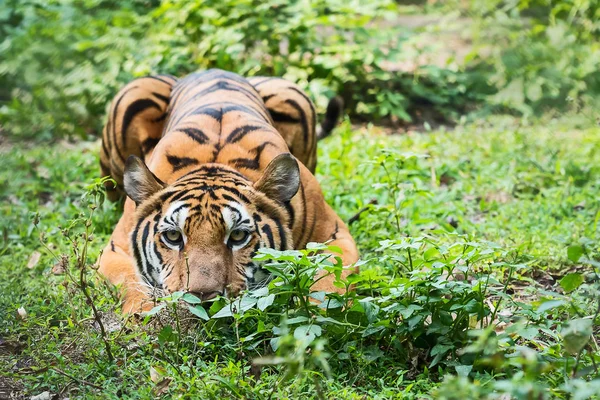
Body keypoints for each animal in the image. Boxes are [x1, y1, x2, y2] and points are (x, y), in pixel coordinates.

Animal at [97, 69, 356, 312]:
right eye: (173, 236)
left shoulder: (332, 234)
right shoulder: (116, 249)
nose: (203, 297)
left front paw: (324, 313)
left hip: (290, 93)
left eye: (238, 236)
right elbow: (130, 281)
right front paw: (144, 315)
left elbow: (330, 275)